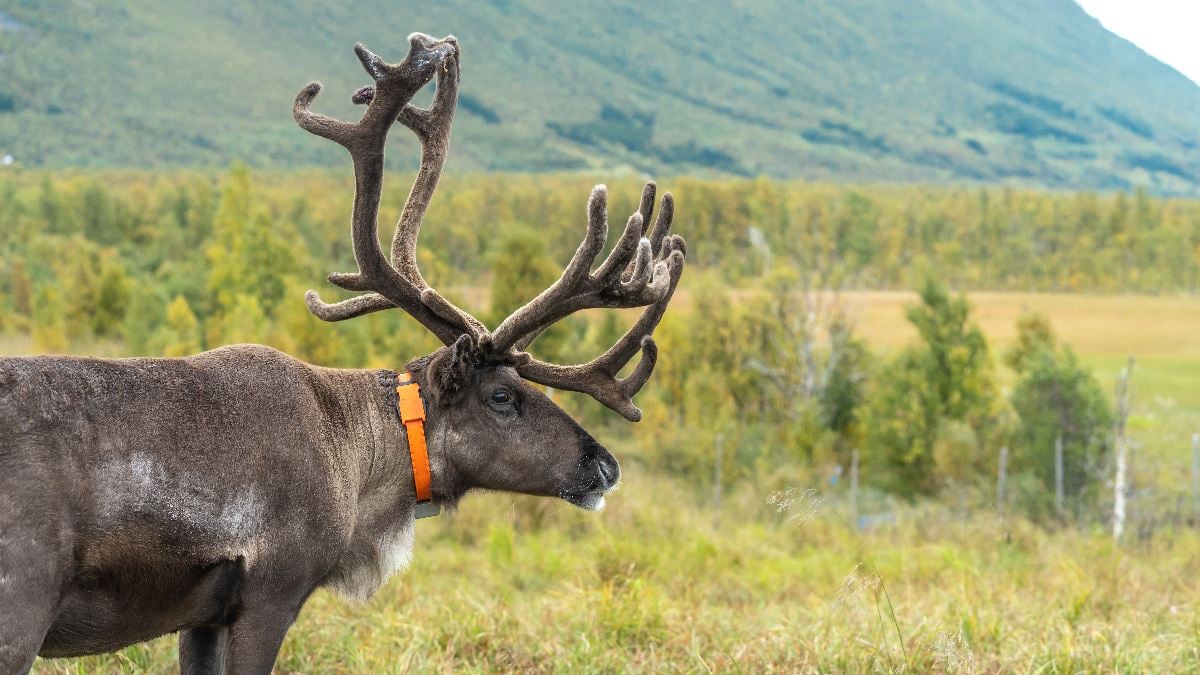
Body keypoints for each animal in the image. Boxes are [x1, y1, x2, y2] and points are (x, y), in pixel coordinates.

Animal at [0, 33, 685, 674]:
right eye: (502, 395)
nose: (605, 465)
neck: (357, 462)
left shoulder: (201, 617)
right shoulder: (270, 592)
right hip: (22, 604)